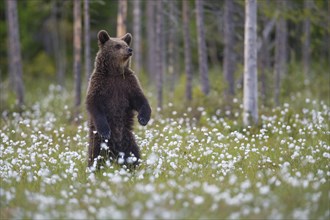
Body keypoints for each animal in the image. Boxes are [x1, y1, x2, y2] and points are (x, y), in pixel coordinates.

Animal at [85, 29, 151, 168]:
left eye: (125, 44)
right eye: (117, 46)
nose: (129, 50)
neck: (114, 73)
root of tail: (115, 153)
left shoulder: (127, 84)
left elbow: (140, 99)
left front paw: (143, 118)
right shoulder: (99, 84)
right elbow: (94, 104)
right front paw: (105, 130)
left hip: (129, 141)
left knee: (134, 155)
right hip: (99, 142)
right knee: (95, 155)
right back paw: (93, 169)